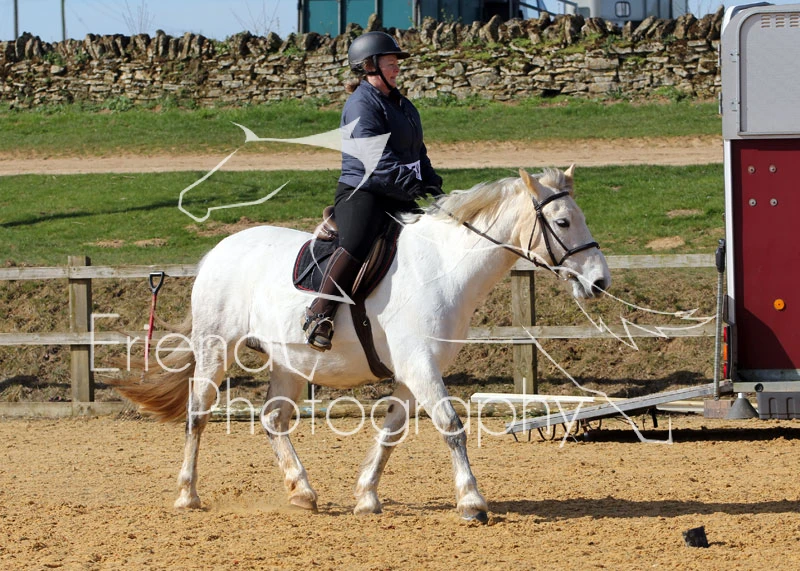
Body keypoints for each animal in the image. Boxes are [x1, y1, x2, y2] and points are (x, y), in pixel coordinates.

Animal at [114, 166, 610, 523]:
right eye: (563, 221)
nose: (599, 282)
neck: (443, 267)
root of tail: (220, 250)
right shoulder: (421, 367)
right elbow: (451, 426)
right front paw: (472, 502)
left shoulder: (415, 372)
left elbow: (391, 433)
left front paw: (367, 496)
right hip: (216, 349)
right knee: (198, 414)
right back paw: (188, 494)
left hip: (289, 362)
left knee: (273, 418)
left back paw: (302, 492)